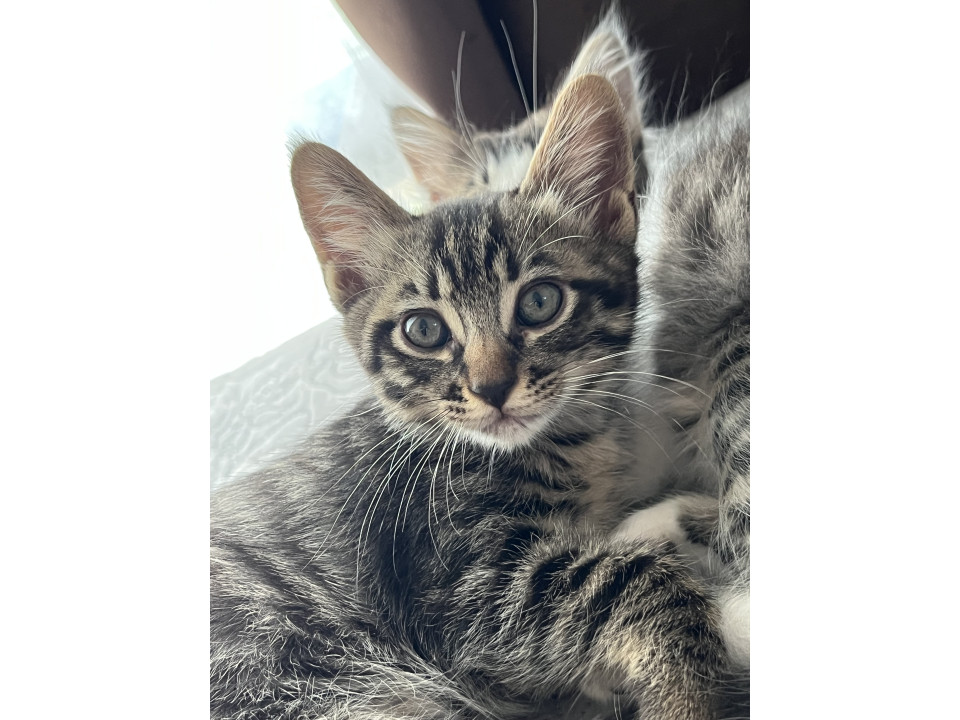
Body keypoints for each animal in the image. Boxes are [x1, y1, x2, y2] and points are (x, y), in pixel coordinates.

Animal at [210, 74, 738, 719]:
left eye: (540, 302)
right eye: (423, 330)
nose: (492, 388)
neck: (567, 443)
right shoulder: (460, 586)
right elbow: (639, 582)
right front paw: (686, 693)